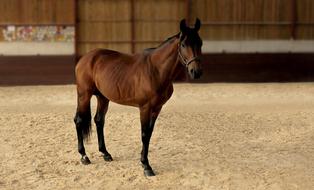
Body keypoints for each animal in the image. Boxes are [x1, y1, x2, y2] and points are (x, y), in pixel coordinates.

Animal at [73, 18, 202, 176]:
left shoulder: (157, 108)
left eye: (200, 42)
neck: (156, 70)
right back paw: (84, 156)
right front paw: (146, 166)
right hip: (84, 95)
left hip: (103, 97)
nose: (196, 72)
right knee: (79, 120)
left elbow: (149, 134)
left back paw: (105, 153)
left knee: (99, 120)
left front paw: (143, 161)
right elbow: (144, 134)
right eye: (183, 44)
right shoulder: (145, 108)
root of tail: (85, 58)